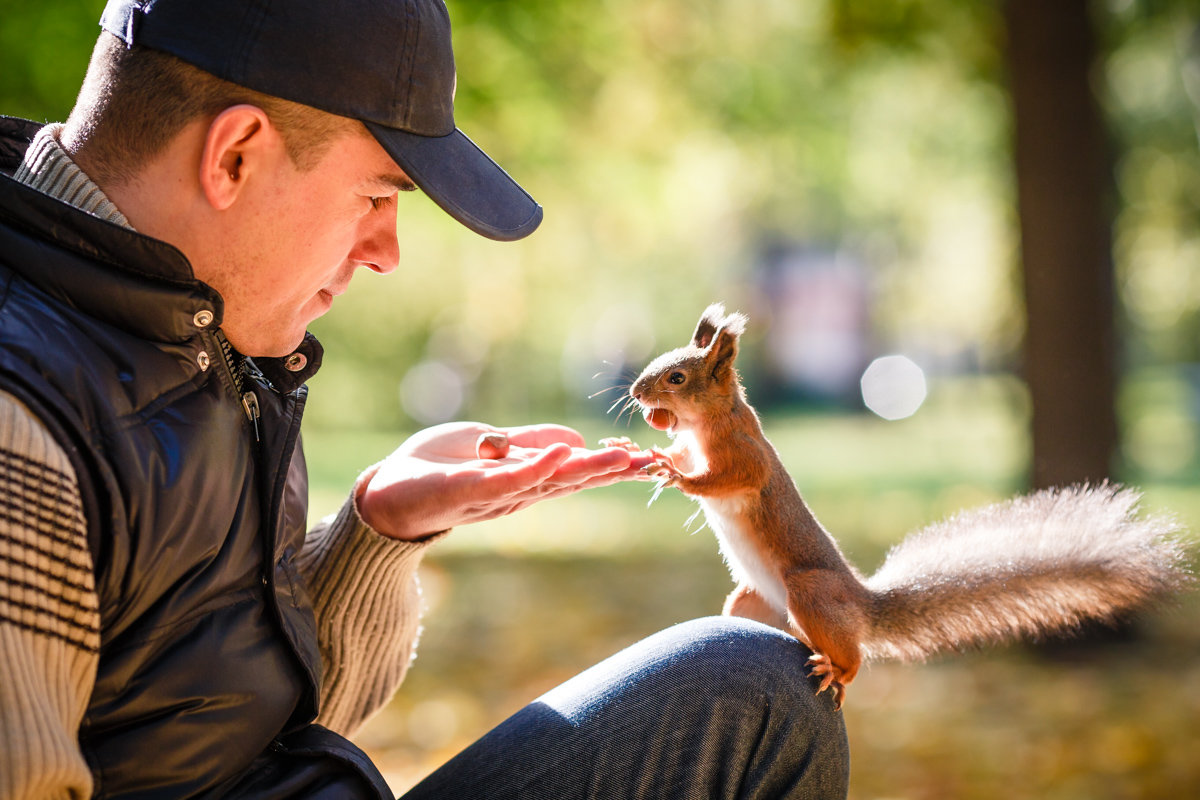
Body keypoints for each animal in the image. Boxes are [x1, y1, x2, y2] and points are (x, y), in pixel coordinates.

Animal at [604, 304, 1195, 705]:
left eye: (677, 376)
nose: (635, 393)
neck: (707, 423)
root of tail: (862, 606)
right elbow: (685, 454)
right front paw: (655, 457)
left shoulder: (743, 454)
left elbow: (724, 479)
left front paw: (676, 476)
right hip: (752, 601)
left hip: (811, 592)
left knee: (854, 655)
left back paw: (838, 673)